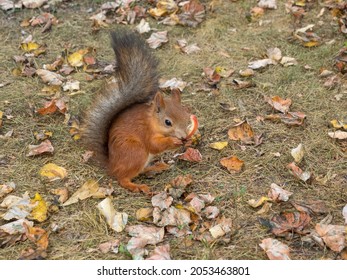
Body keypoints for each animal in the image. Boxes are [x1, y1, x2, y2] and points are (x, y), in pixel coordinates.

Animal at [81, 29, 198, 194]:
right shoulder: (145, 132)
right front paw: (173, 141)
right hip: (136, 152)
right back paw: (137, 186)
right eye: (167, 122)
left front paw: (189, 140)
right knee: (123, 179)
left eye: (187, 116)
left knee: (139, 171)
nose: (182, 136)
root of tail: (112, 166)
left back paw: (157, 167)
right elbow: (154, 145)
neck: (152, 121)